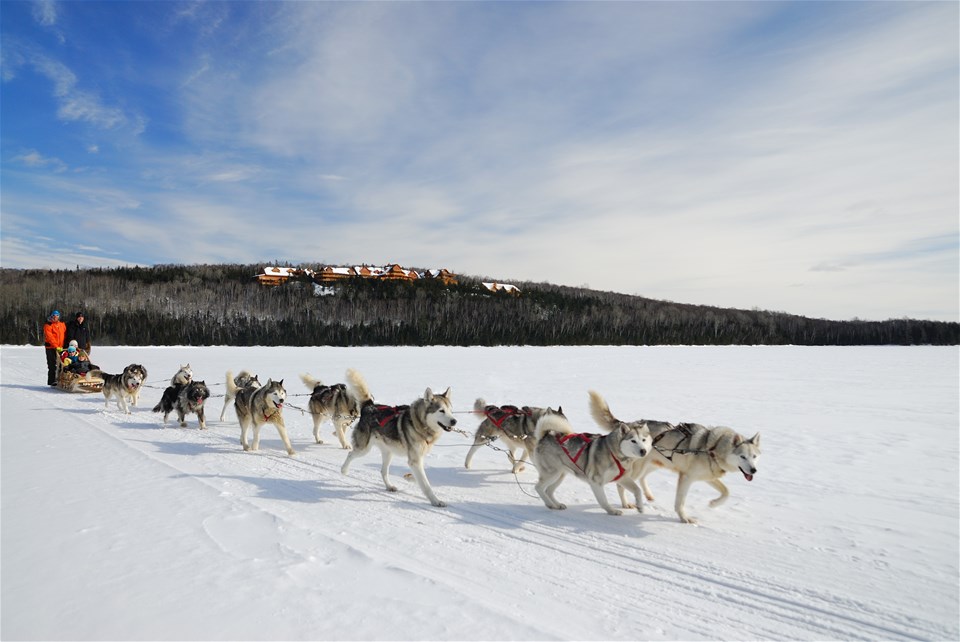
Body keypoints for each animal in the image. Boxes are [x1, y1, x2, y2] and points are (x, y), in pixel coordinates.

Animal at [342, 376, 458, 504]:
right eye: (441, 410)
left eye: (450, 410)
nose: (454, 421)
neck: (419, 424)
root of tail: (369, 406)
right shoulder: (415, 460)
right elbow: (426, 485)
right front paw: (436, 501)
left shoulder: (417, 459)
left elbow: (421, 478)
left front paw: (410, 478)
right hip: (363, 449)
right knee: (350, 454)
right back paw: (344, 470)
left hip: (388, 453)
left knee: (383, 471)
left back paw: (389, 486)